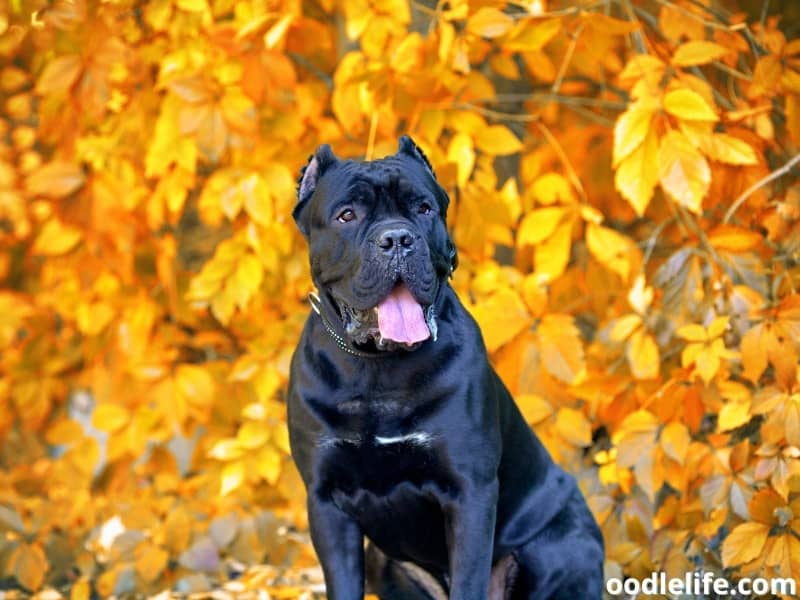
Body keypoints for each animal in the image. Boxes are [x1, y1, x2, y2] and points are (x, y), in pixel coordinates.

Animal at [288, 138, 600, 596]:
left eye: (423, 208)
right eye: (347, 215)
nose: (397, 238)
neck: (378, 369)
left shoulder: (469, 490)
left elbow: (469, 581)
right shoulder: (326, 501)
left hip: (563, 549)